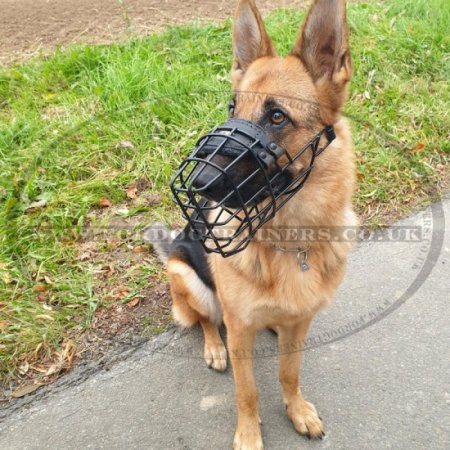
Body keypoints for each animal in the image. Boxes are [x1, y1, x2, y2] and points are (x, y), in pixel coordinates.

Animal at [151, 1, 358, 448]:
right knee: (206, 320)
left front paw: (297, 410)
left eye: (277, 116)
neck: (290, 242)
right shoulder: (241, 327)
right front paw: (248, 435)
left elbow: (288, 372)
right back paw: (214, 348)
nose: (198, 183)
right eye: (232, 109)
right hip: (186, 276)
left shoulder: (302, 322)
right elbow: (247, 391)